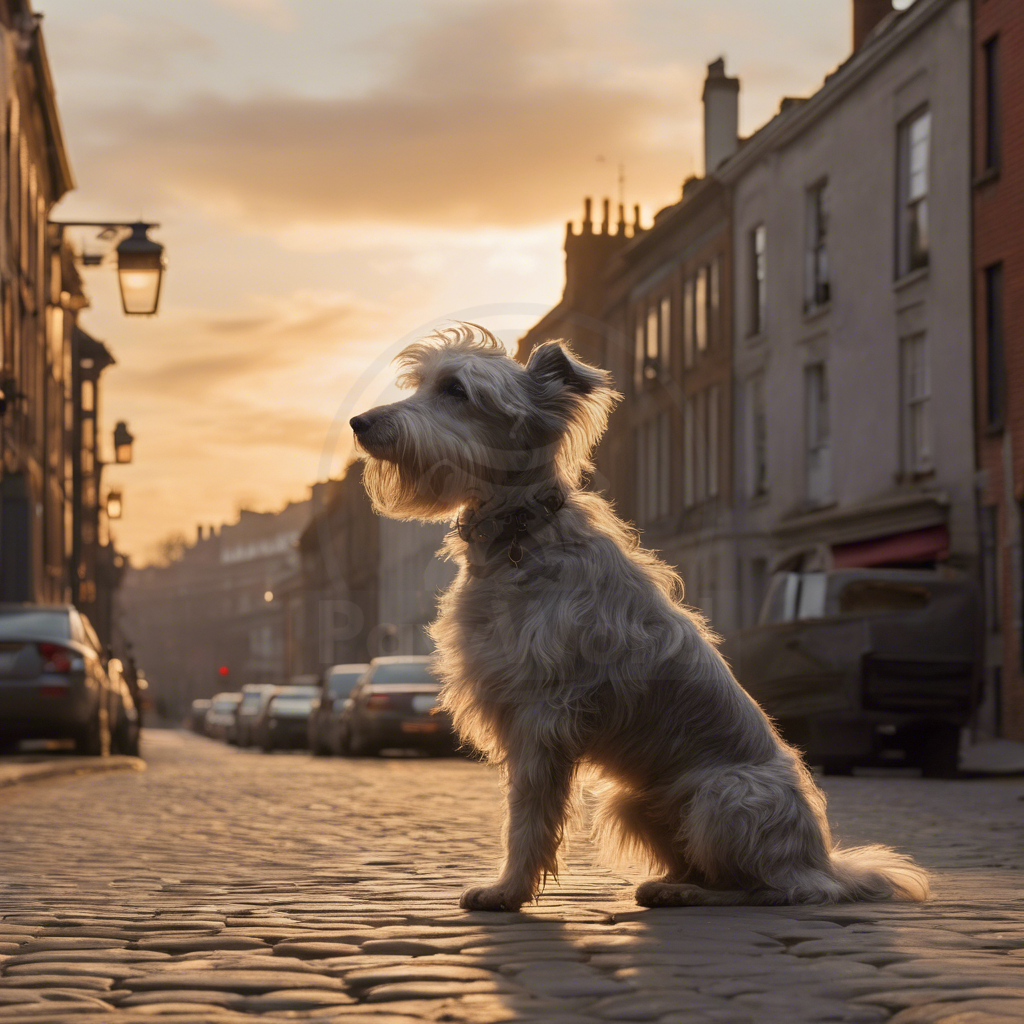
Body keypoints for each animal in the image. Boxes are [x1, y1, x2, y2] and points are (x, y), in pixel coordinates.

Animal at [350, 323, 929, 909]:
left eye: (456, 391)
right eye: (423, 385)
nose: (360, 423)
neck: (520, 537)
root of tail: (824, 864)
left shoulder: (542, 715)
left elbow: (528, 815)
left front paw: (507, 891)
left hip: (726, 795)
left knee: (757, 889)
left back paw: (689, 894)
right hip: (630, 800)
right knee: (712, 869)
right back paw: (670, 883)